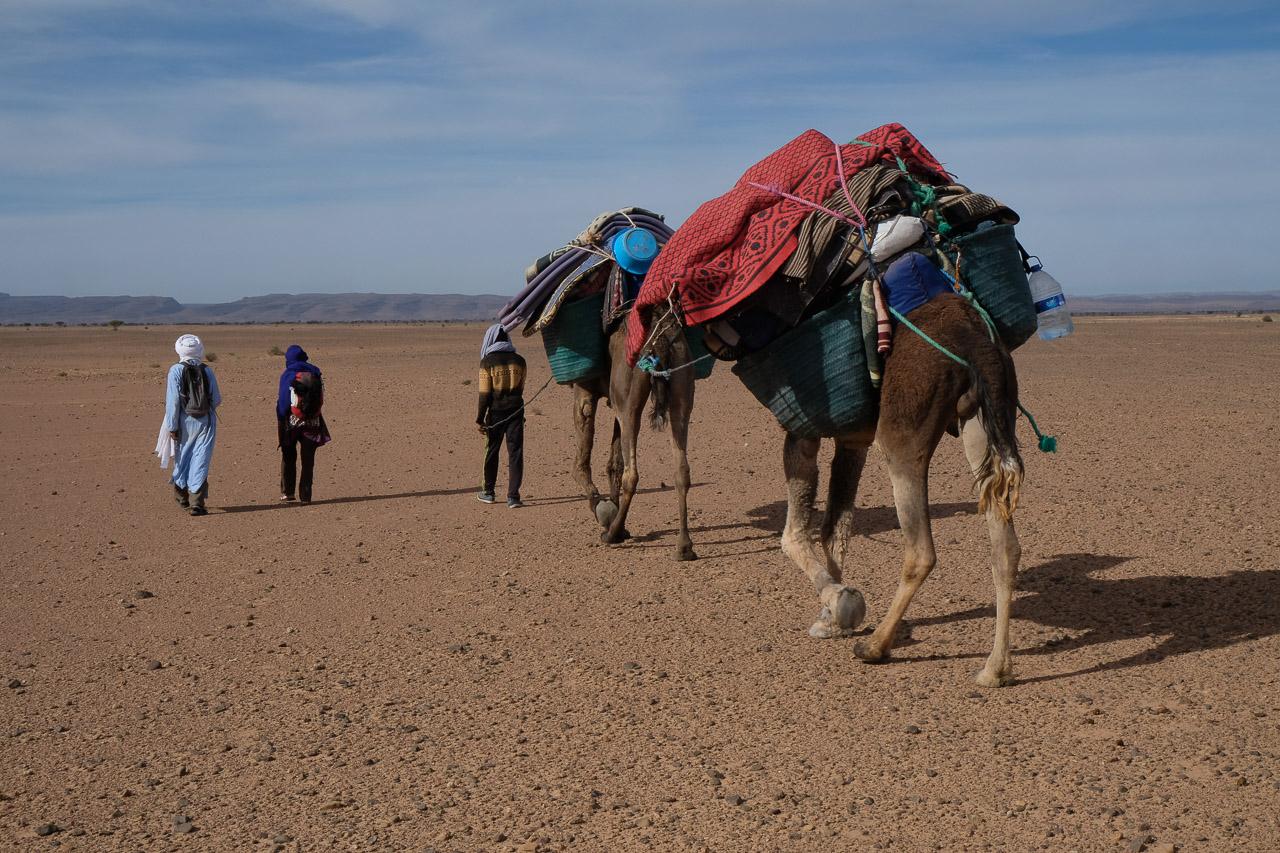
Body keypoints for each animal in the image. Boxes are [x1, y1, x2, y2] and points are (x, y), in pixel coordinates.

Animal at [568, 316, 698, 562]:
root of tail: (659, 338)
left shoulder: (585, 388)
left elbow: (581, 463)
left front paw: (601, 508)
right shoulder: (613, 399)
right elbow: (614, 462)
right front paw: (615, 517)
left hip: (628, 395)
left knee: (632, 474)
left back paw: (611, 535)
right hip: (682, 382)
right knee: (681, 469)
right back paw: (684, 547)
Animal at [779, 294, 1024, 687]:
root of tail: (970, 332)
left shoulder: (805, 426)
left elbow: (795, 534)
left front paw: (840, 606)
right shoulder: (852, 437)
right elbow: (835, 527)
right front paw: (832, 616)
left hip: (903, 429)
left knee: (921, 550)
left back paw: (874, 646)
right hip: (984, 419)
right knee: (1005, 546)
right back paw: (994, 670)